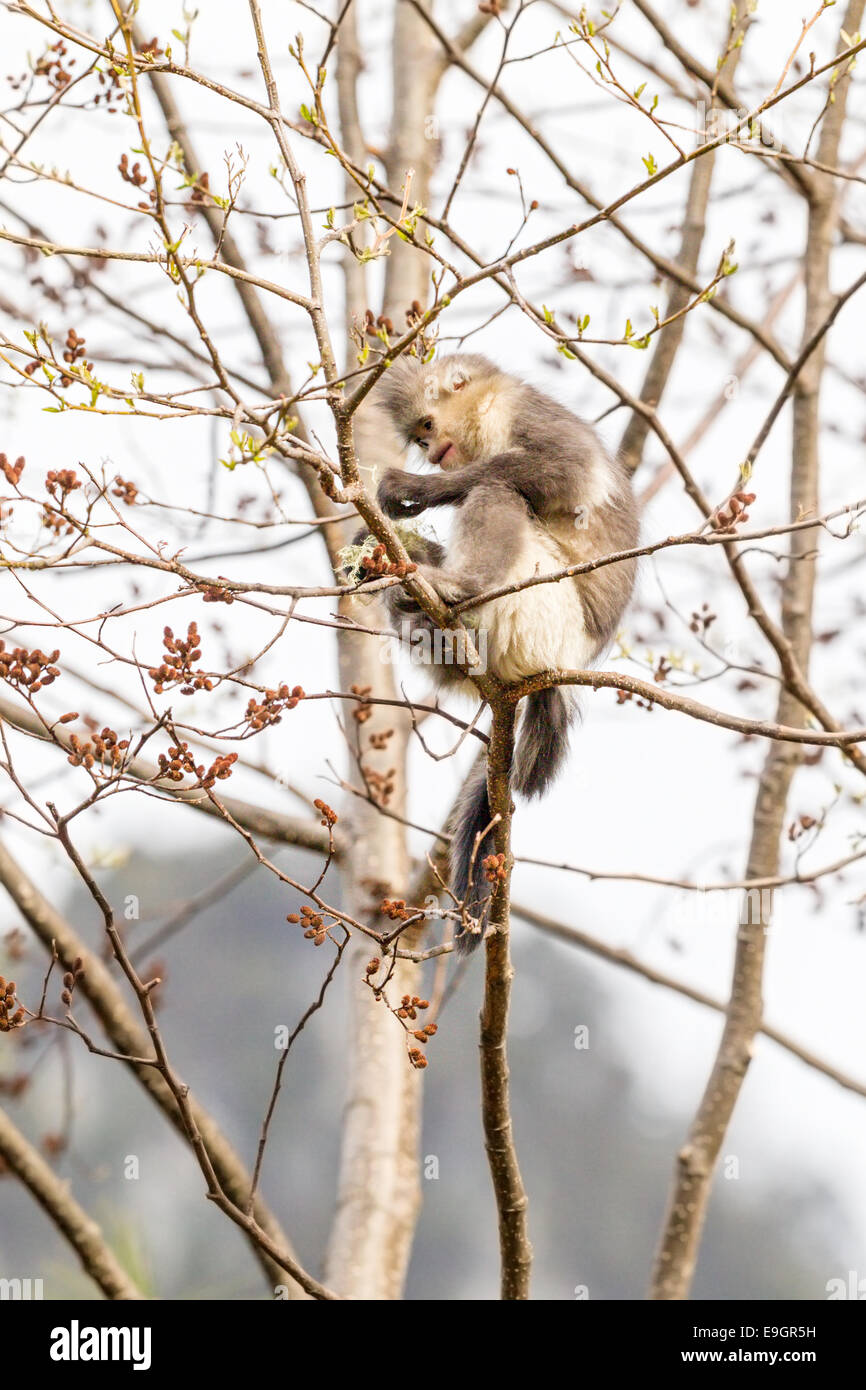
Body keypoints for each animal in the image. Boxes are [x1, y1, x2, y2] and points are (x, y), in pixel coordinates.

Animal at [369, 353, 639, 950]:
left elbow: (567, 468)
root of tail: (564, 665)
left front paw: (413, 487)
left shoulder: (520, 415)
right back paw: (417, 609)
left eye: (427, 426)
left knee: (497, 491)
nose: (429, 452)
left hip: (538, 605)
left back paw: (456, 585)